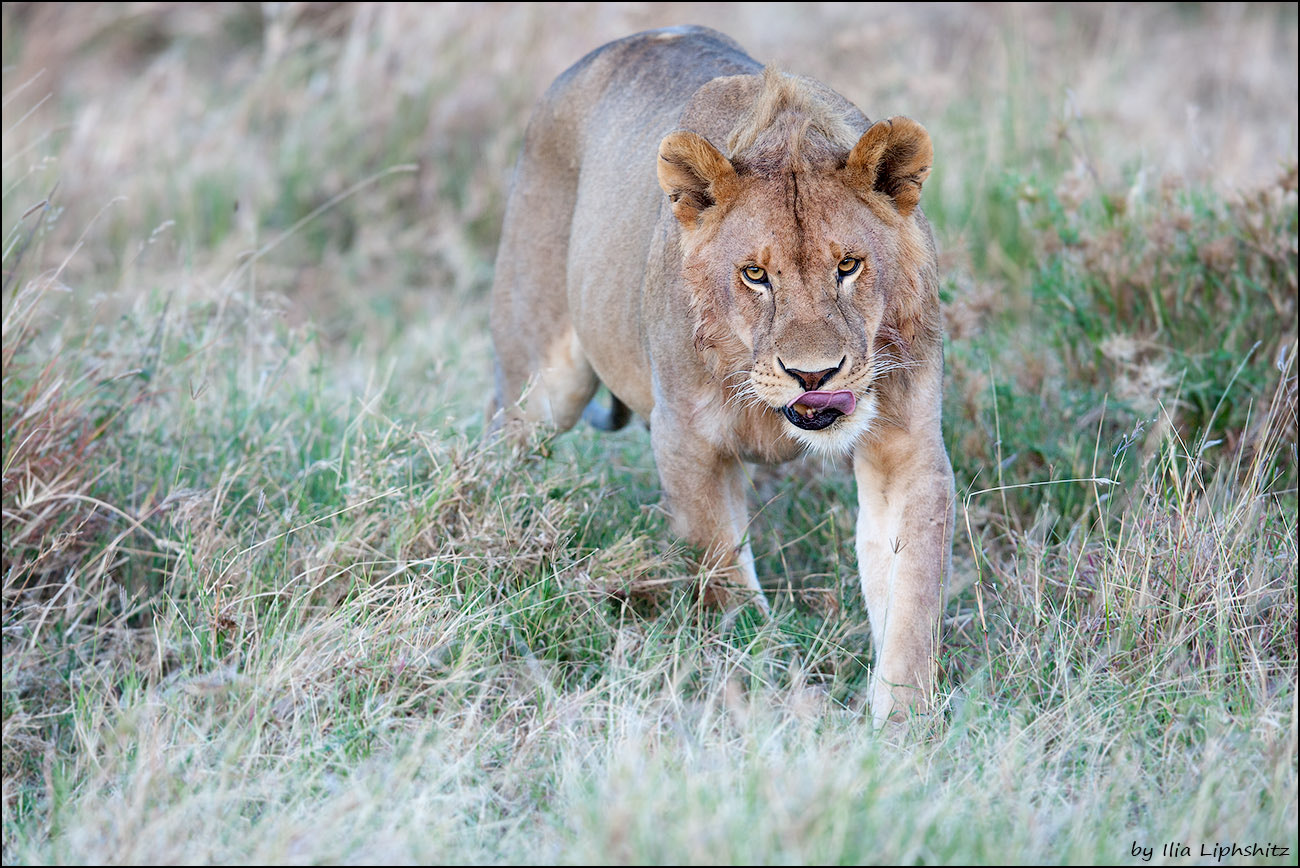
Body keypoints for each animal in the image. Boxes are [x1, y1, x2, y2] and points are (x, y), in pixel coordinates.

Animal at [487, 26, 955, 726]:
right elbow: (728, 582)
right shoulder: (687, 444)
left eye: (848, 265)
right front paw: (769, 681)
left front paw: (902, 725)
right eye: (755, 275)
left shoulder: (907, 449)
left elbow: (912, 600)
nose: (814, 375)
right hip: (541, 383)